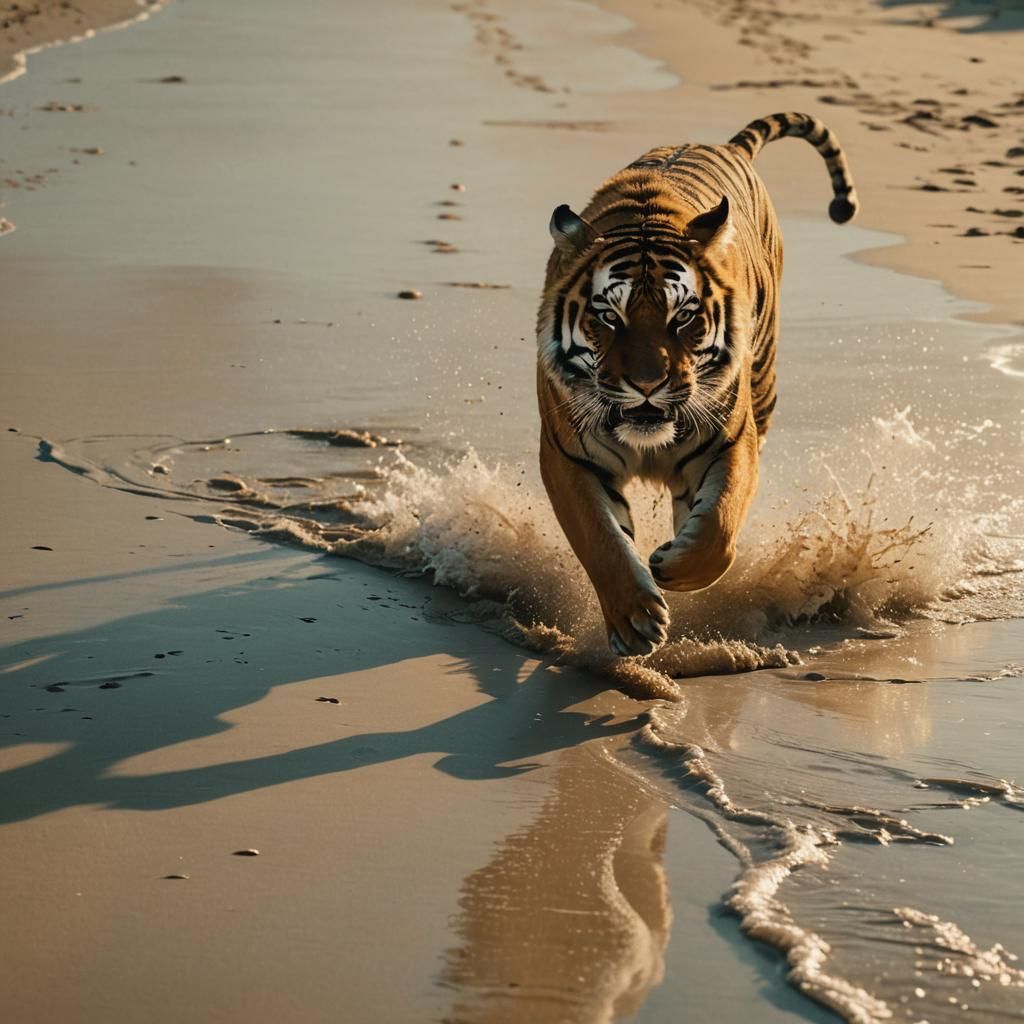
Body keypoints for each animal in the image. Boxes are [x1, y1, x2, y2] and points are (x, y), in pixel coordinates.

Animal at [536, 112, 858, 658]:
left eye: (682, 317)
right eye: (609, 317)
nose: (647, 383)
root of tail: (726, 145)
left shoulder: (731, 440)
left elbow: (720, 526)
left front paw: (674, 564)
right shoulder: (567, 456)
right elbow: (601, 540)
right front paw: (635, 620)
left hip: (764, 386)